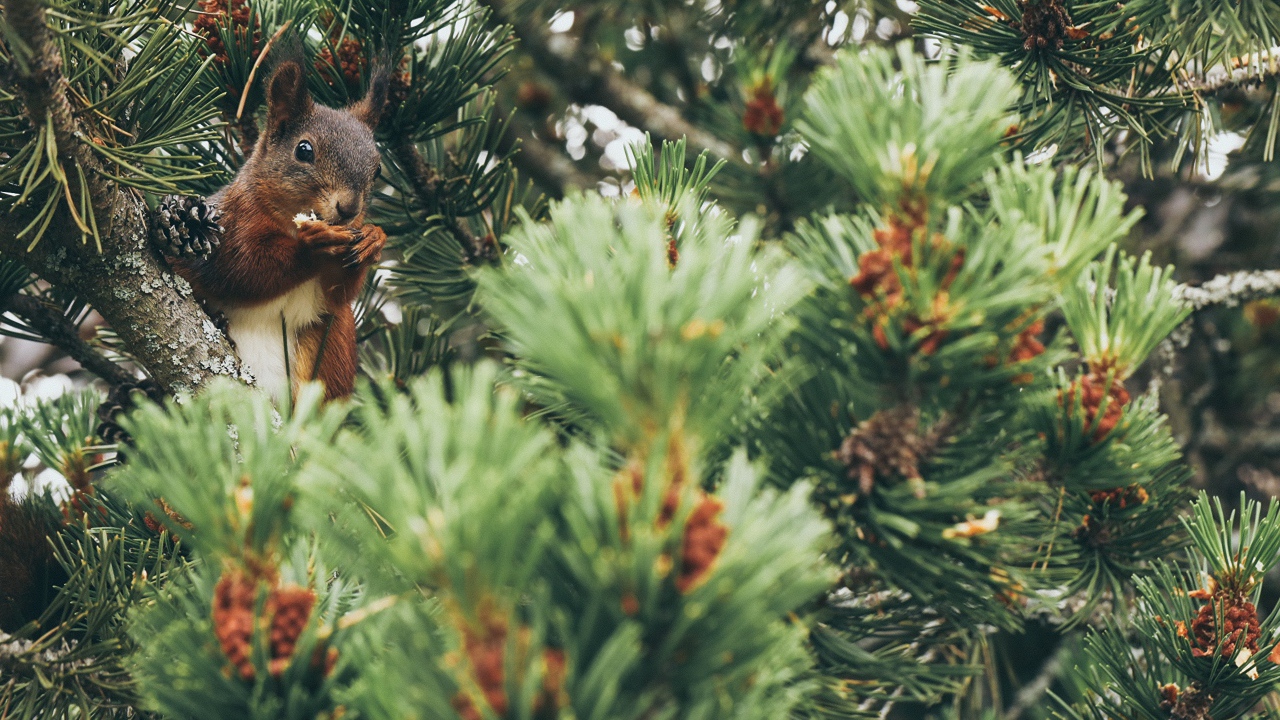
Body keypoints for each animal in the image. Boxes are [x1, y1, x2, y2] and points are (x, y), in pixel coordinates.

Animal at [171, 58, 389, 399]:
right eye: (304, 150)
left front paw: (372, 240)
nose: (349, 209)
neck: (289, 222)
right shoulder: (232, 224)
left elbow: (339, 294)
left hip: (330, 346)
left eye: (377, 168)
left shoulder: (330, 294)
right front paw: (313, 246)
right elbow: (244, 269)